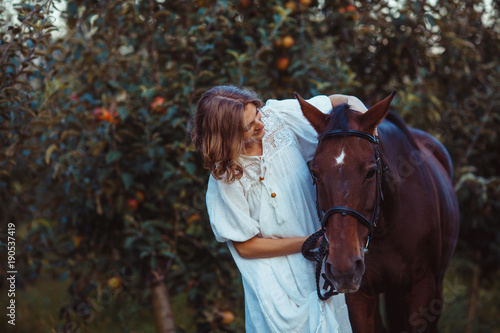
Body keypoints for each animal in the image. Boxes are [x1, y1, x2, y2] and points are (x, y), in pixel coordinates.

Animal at [294, 91, 458, 332]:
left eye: (371, 172)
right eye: (315, 173)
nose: (343, 267)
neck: (385, 227)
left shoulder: (421, 289)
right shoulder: (360, 295)